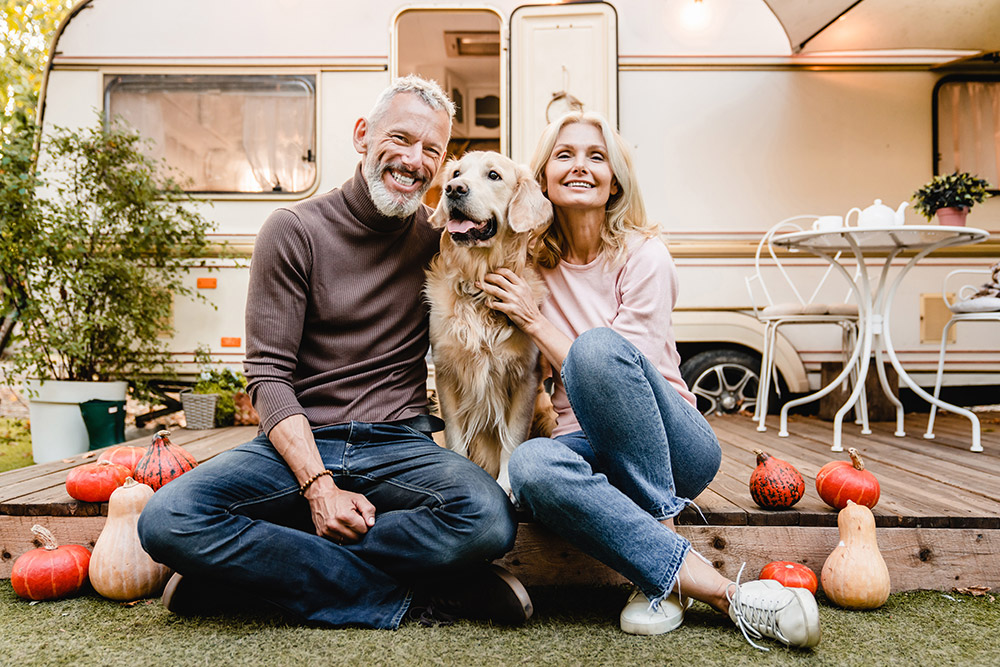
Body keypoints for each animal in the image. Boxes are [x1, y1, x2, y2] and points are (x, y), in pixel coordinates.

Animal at [426, 153, 556, 496]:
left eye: (494, 176)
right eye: (455, 173)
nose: (453, 189)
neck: (479, 286)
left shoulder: (525, 377)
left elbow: (512, 438)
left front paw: (505, 484)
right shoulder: (446, 374)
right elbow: (456, 435)